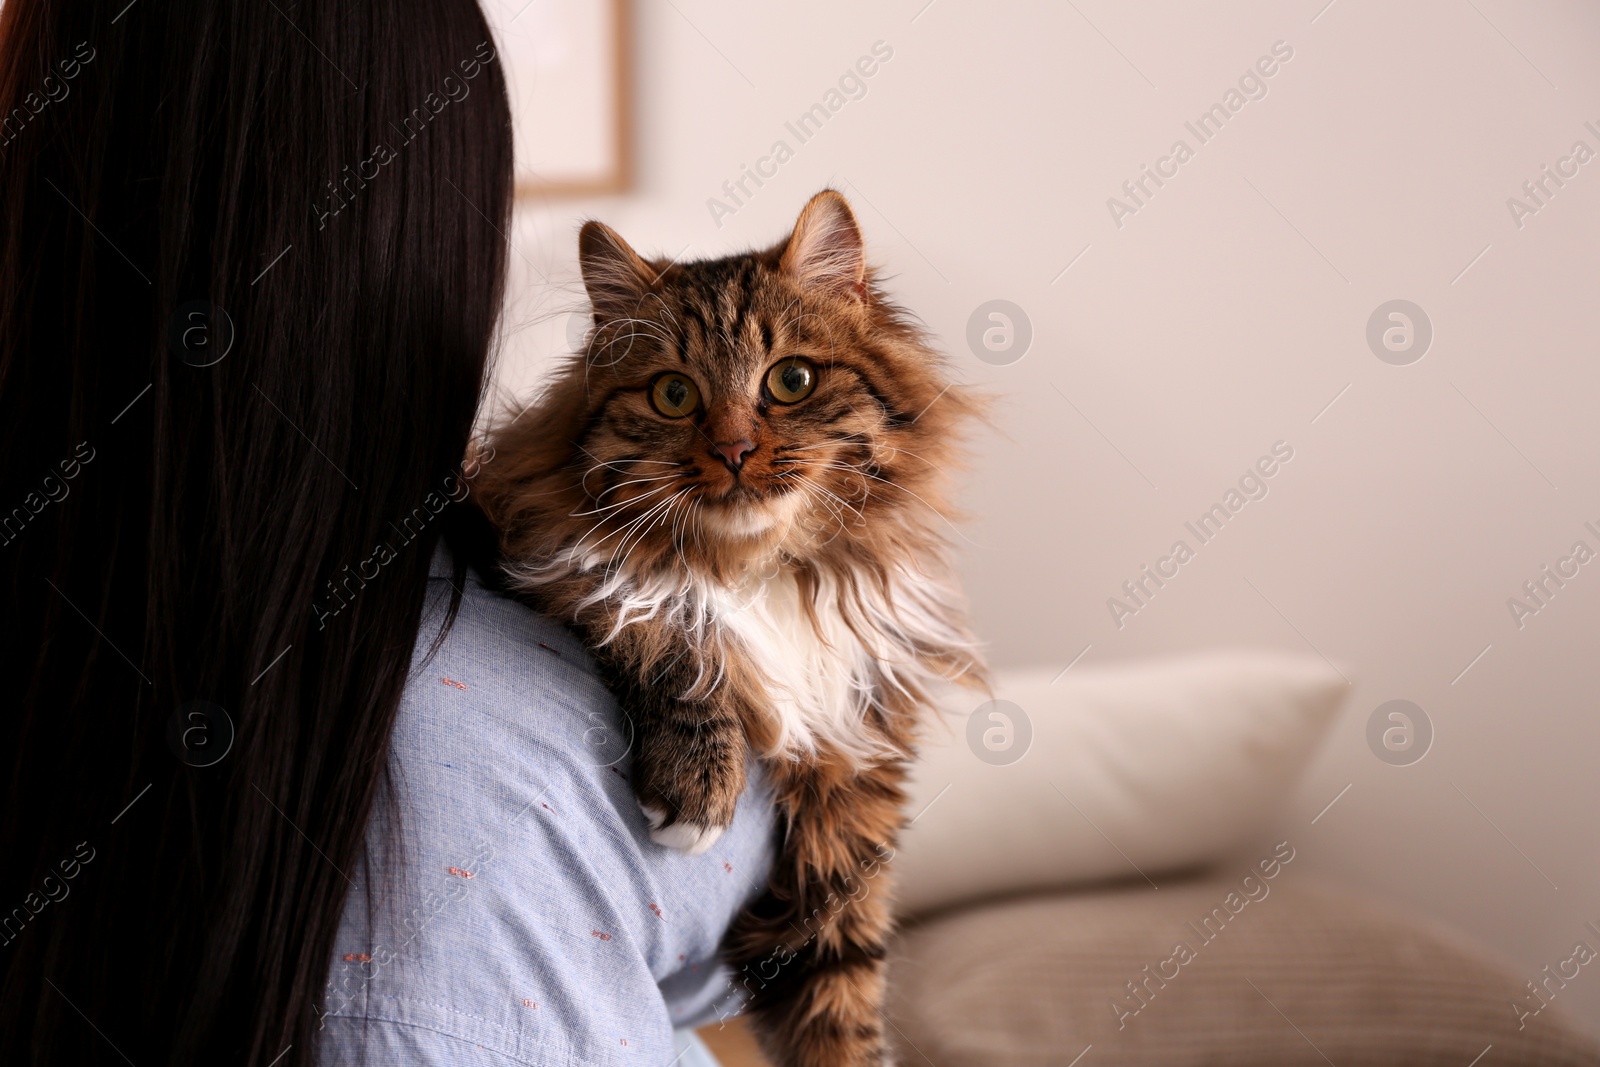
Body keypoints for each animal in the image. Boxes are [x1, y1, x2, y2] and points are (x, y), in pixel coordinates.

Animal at [467, 187, 979, 1062]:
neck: (758, 571)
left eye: (792, 380)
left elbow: (844, 997)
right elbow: (666, 631)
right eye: (674, 394)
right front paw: (698, 788)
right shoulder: (543, 556)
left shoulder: (853, 784)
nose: (736, 449)